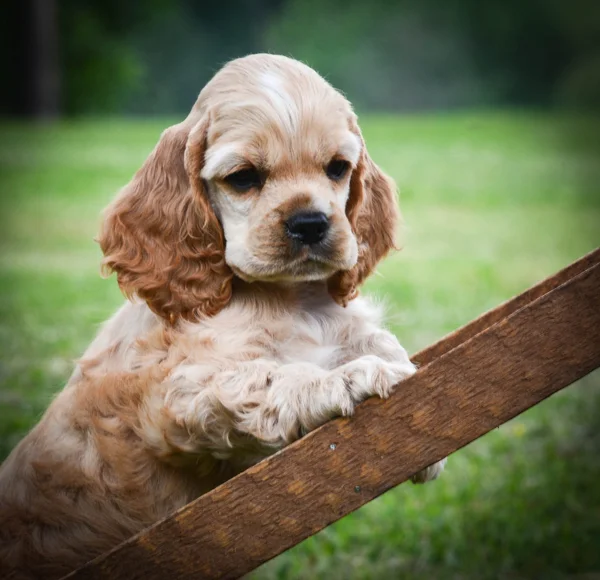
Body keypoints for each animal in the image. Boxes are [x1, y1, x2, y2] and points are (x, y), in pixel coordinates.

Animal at [1, 53, 446, 576]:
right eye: (244, 178)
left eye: (337, 168)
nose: (311, 224)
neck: (293, 300)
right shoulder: (185, 392)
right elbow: (277, 376)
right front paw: (352, 378)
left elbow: (372, 337)